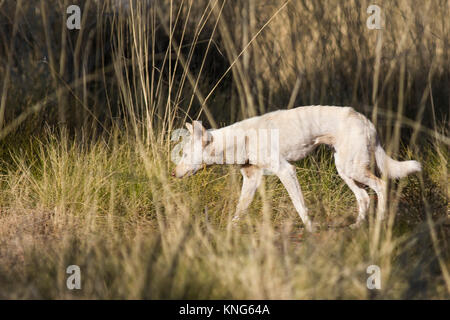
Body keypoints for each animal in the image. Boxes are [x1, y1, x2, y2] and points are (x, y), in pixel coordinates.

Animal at [173, 106, 422, 231]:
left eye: (184, 154)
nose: (173, 174)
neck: (241, 140)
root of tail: (366, 120)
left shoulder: (286, 171)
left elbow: (300, 206)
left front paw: (310, 229)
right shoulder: (251, 179)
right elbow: (239, 209)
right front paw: (229, 230)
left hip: (354, 170)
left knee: (381, 186)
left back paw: (380, 223)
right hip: (345, 170)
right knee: (364, 197)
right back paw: (357, 226)